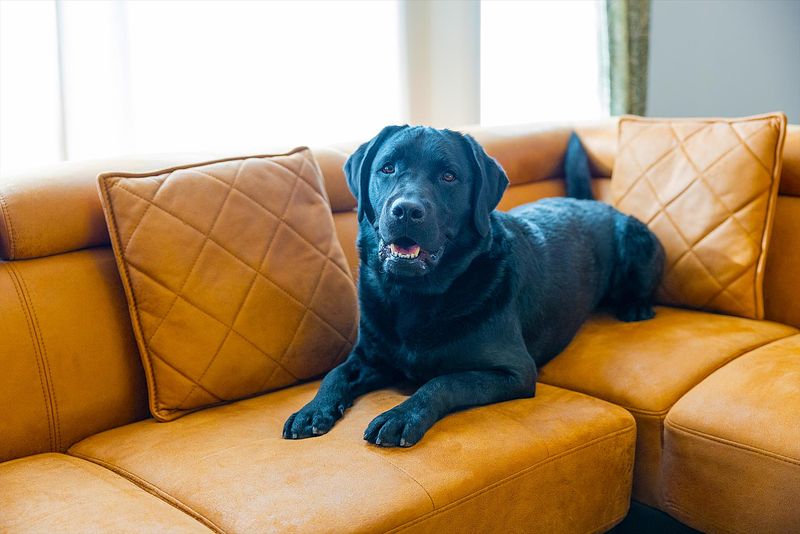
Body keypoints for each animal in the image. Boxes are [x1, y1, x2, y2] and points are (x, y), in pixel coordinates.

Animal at [282, 125, 664, 448]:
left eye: (449, 176)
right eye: (387, 168)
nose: (406, 211)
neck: (414, 297)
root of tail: (592, 202)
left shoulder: (515, 371)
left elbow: (444, 381)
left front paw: (401, 416)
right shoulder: (369, 357)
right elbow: (335, 373)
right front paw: (313, 410)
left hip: (637, 236)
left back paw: (635, 307)